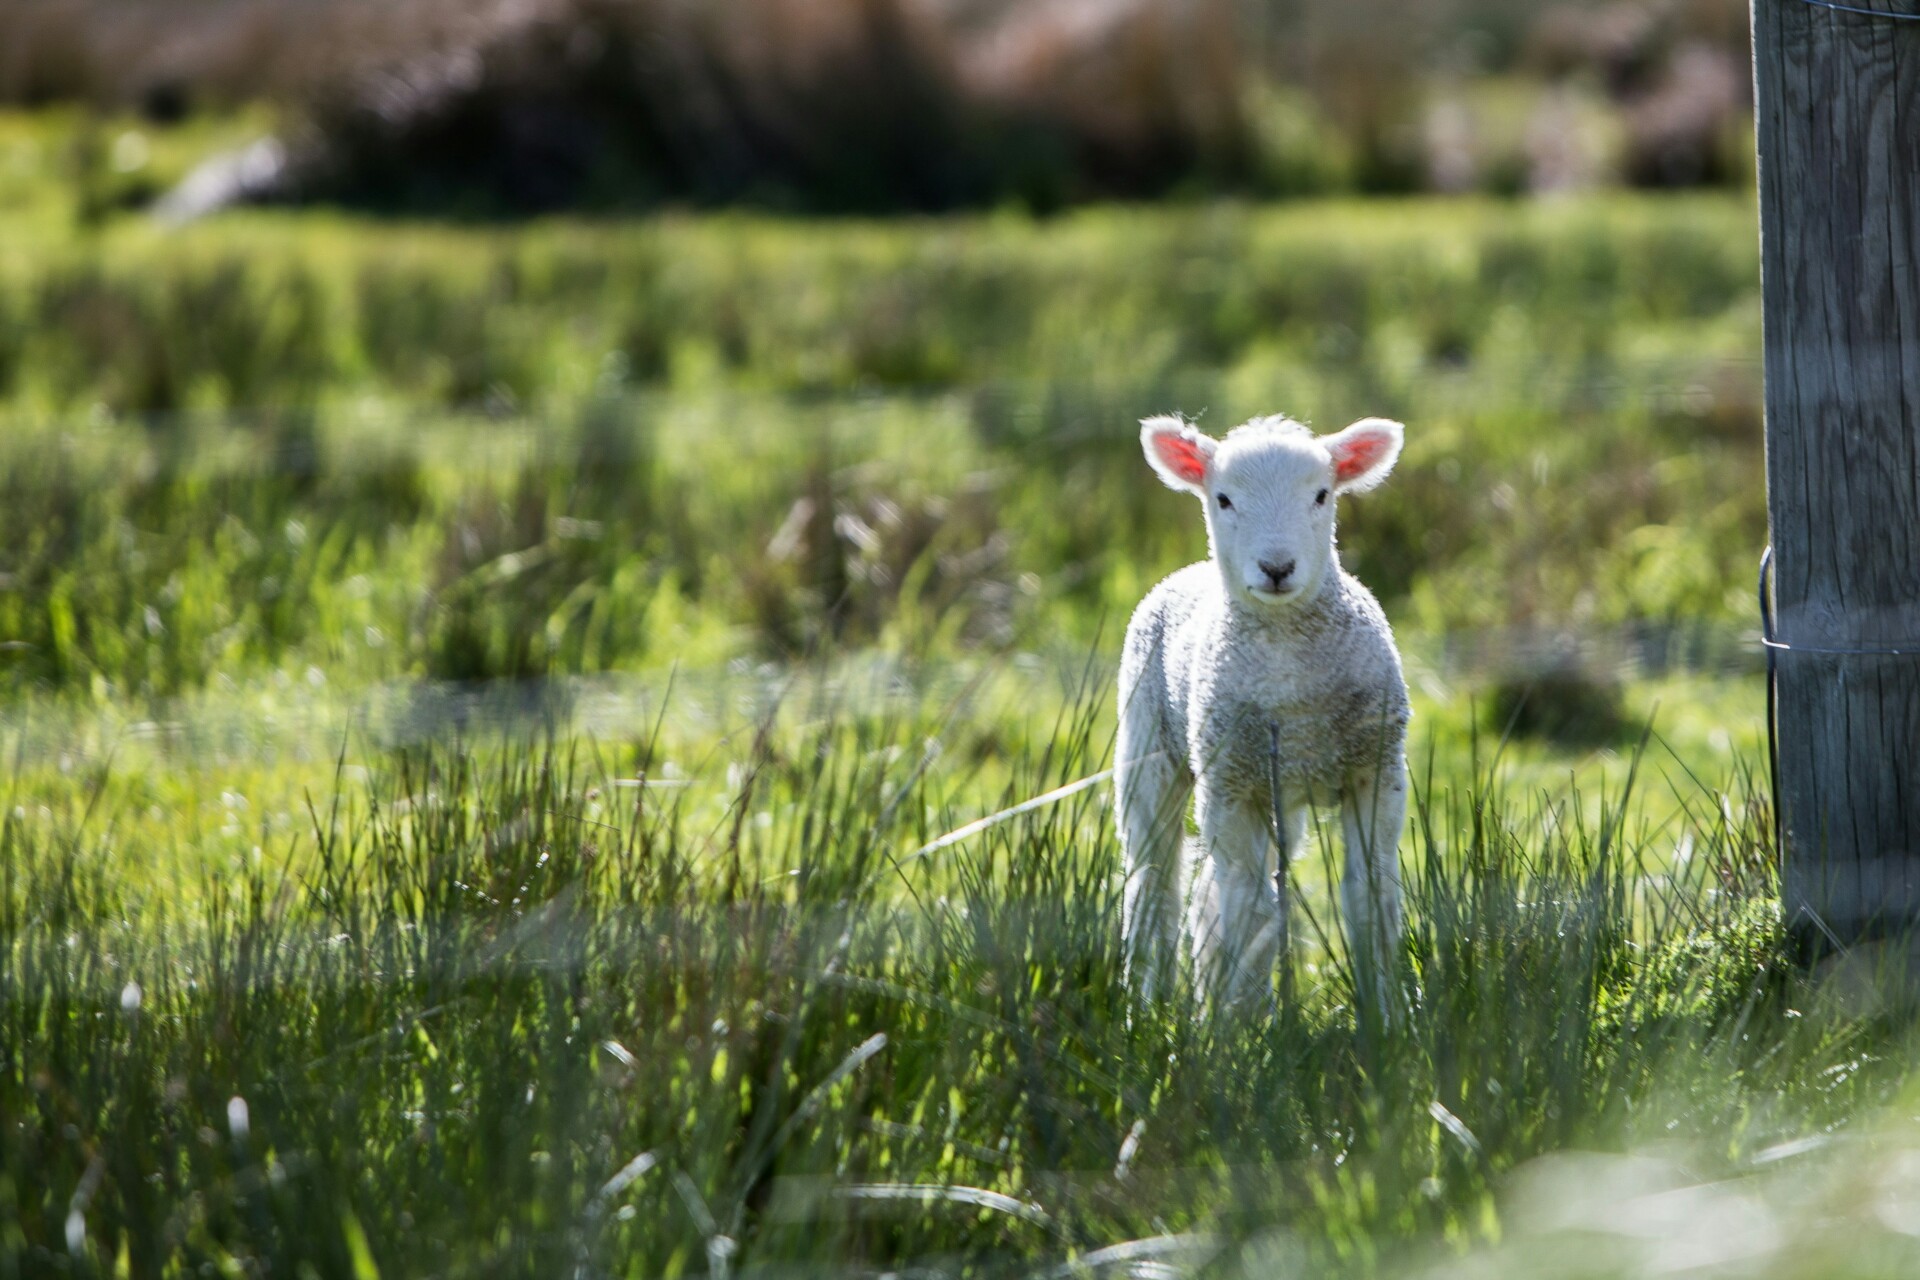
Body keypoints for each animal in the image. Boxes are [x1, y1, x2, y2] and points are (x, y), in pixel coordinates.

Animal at [1113, 410, 1413, 1013]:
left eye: (1322, 495)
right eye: (1223, 498)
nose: (1277, 567)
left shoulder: (1376, 771)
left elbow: (1370, 896)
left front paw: (1385, 1014)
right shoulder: (1232, 786)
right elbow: (1249, 909)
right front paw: (1246, 1023)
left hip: (1279, 792)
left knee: (1215, 885)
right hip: (1148, 749)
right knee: (1154, 881)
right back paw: (1148, 1004)